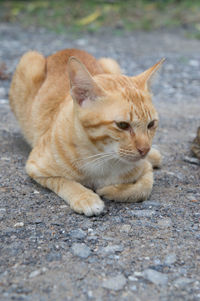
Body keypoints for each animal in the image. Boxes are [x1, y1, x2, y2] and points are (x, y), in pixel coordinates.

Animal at [9, 48, 162, 214]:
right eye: (122, 125)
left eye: (151, 124)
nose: (145, 149)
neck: (102, 157)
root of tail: (68, 49)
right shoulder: (36, 167)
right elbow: (65, 182)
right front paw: (85, 198)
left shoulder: (145, 170)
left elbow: (144, 188)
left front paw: (111, 190)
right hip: (29, 60)